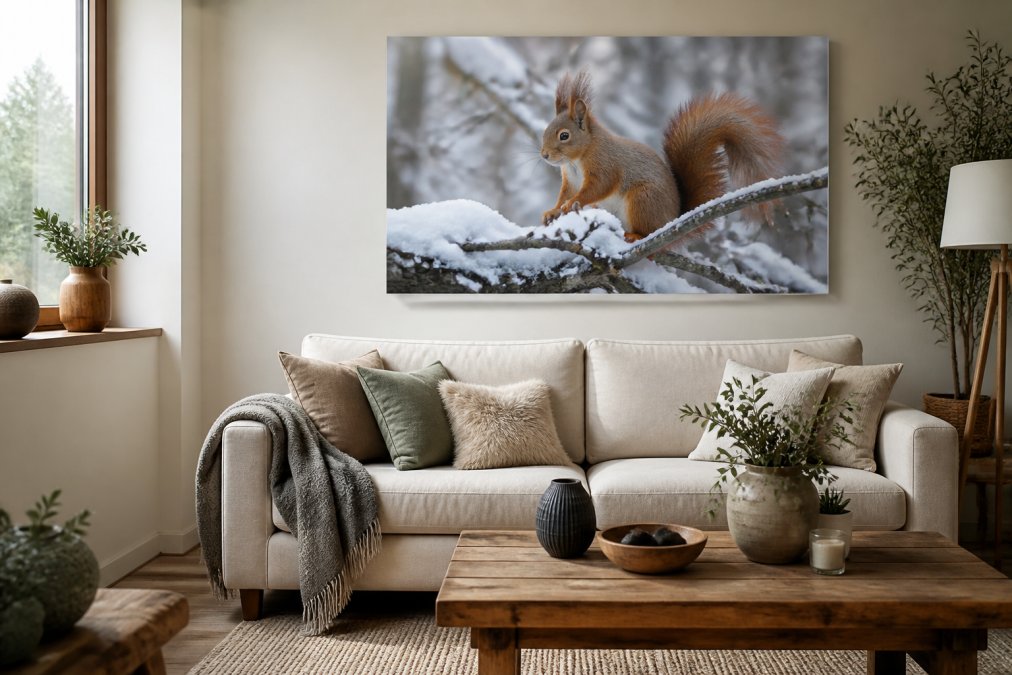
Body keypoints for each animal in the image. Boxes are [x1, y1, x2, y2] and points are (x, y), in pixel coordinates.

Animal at [540, 71, 785, 242]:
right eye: (546, 131)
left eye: (564, 135)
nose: (544, 155)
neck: (576, 160)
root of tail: (671, 220)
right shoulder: (570, 180)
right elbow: (565, 194)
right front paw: (553, 211)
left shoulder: (605, 164)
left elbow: (599, 186)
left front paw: (574, 203)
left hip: (643, 200)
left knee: (647, 231)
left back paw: (636, 236)